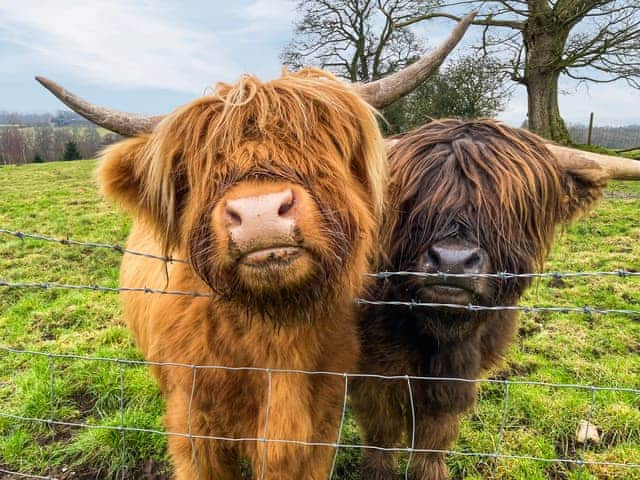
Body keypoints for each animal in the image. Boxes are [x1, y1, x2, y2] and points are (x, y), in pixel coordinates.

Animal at [350, 119, 640, 480]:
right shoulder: (373, 370)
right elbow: (381, 431)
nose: (452, 261)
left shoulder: (460, 374)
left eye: (511, 206)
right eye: (412, 198)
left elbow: (436, 433)